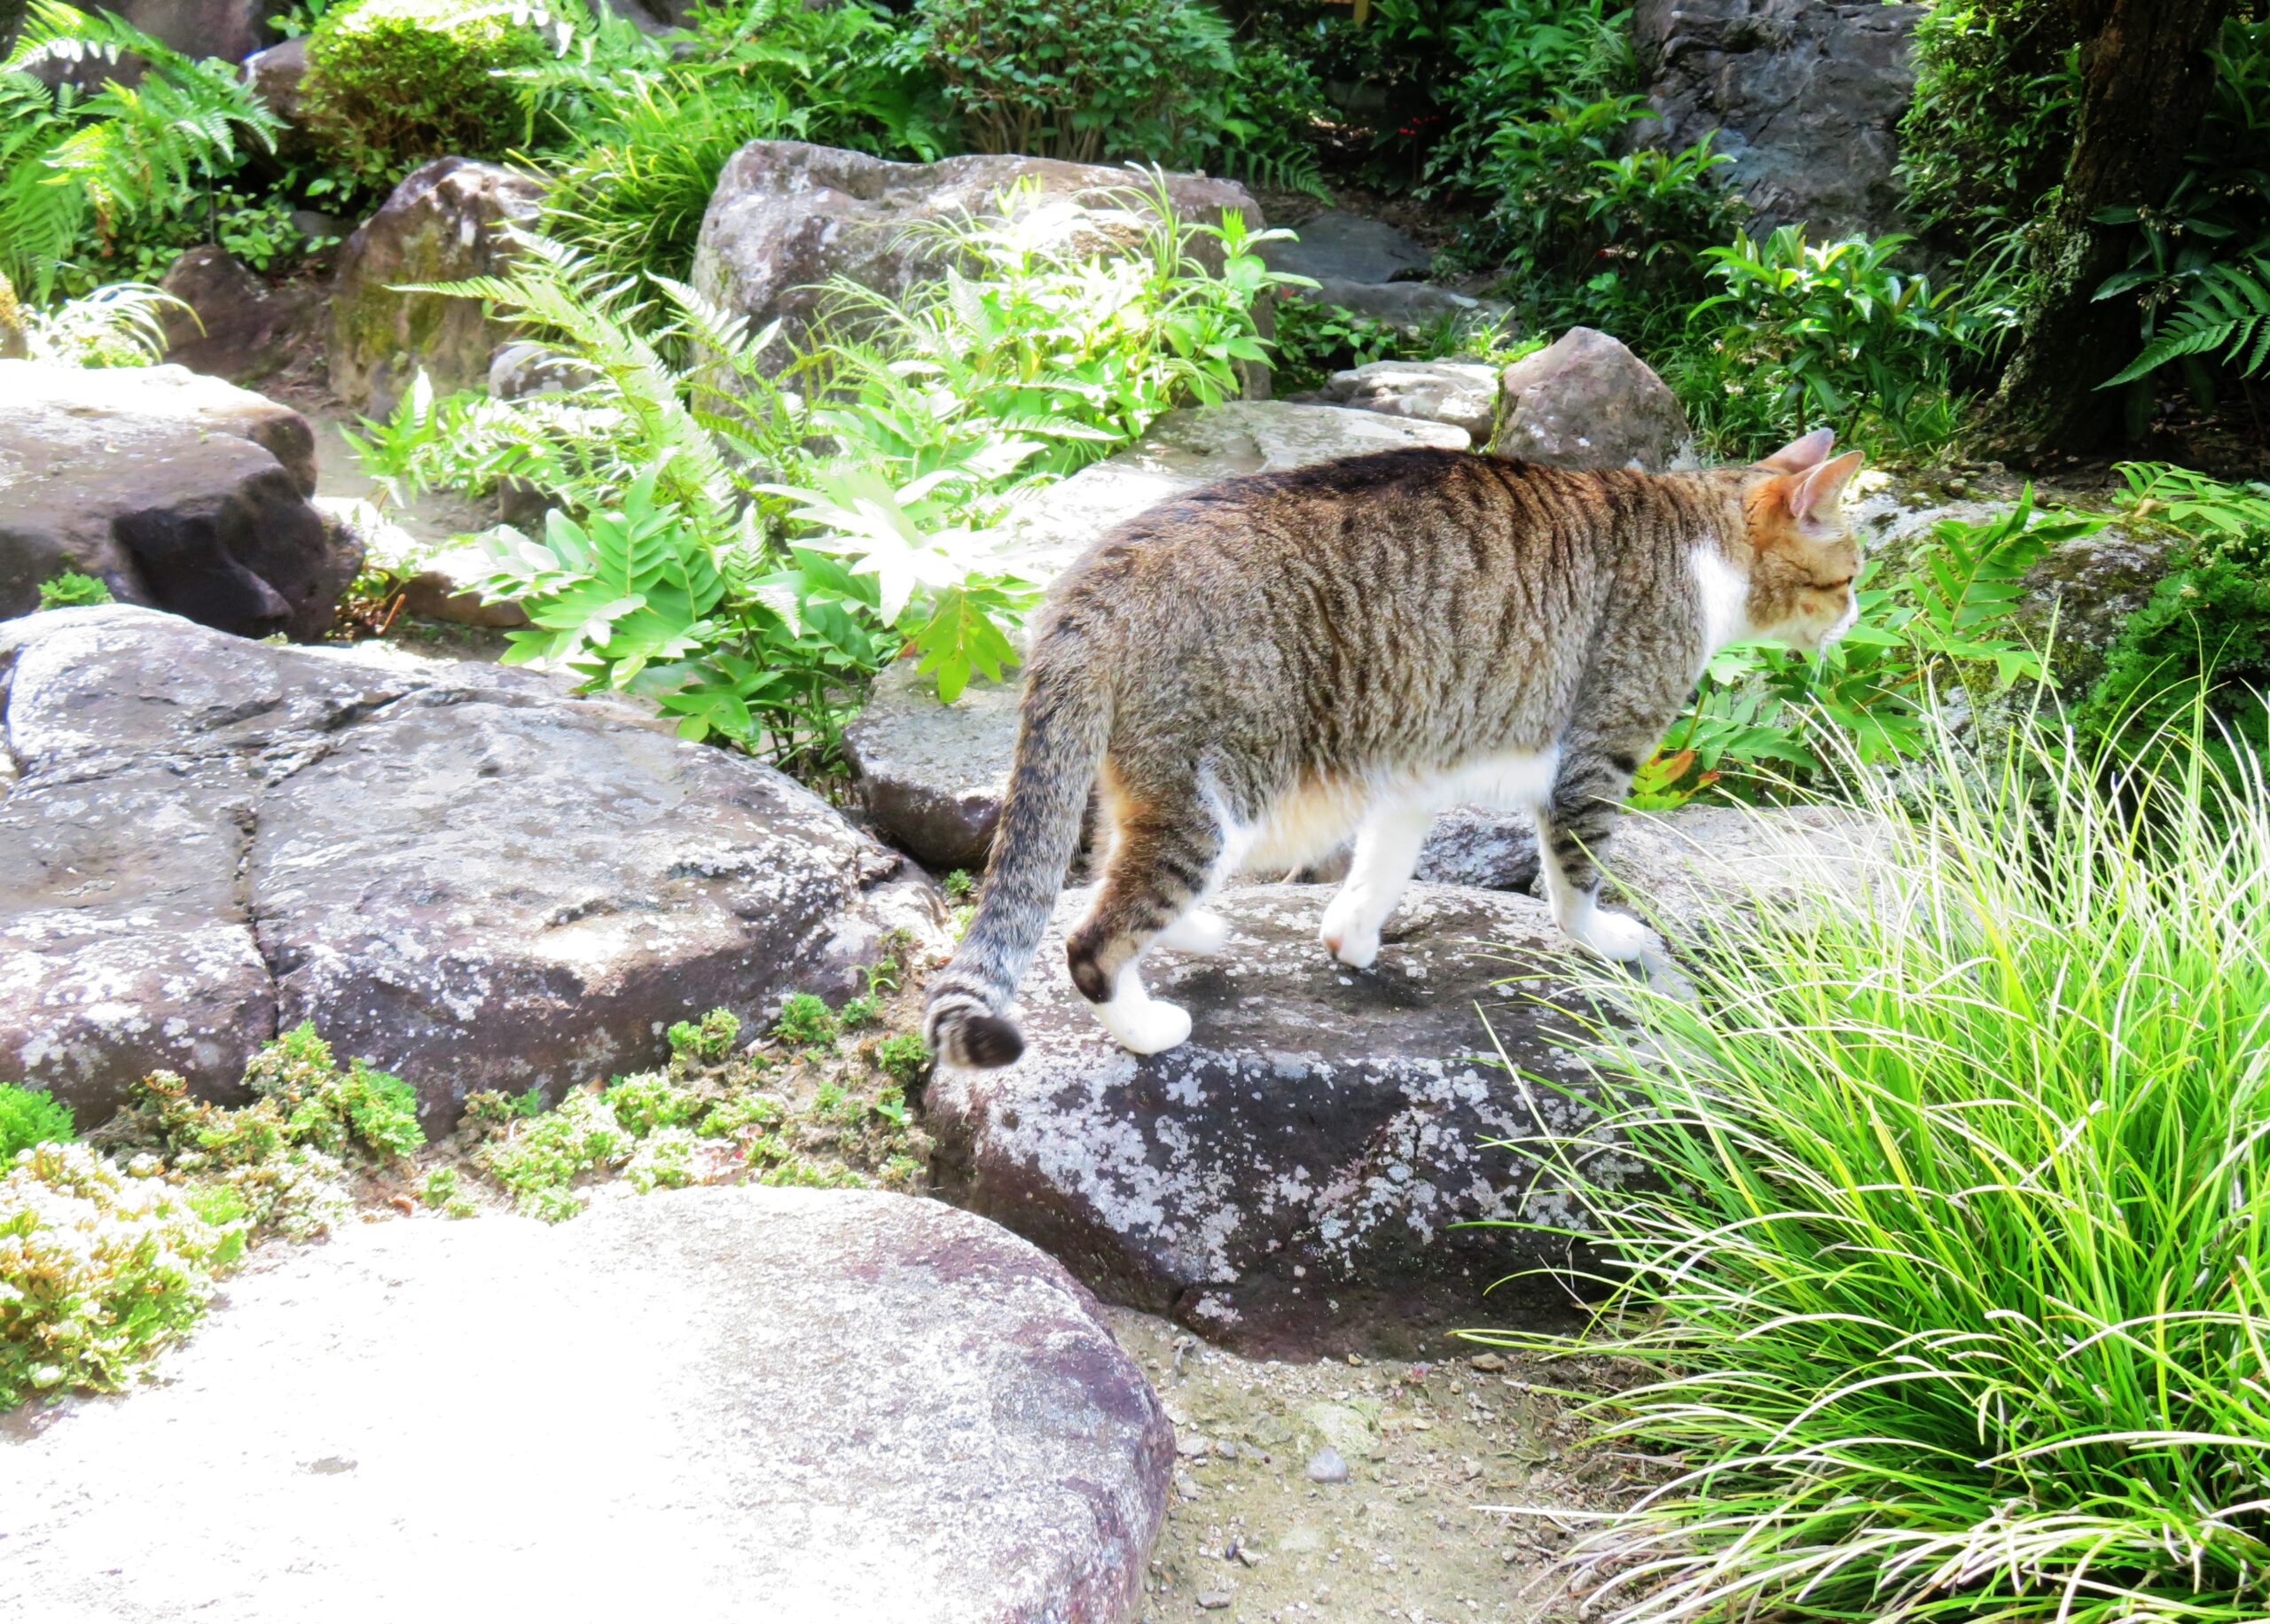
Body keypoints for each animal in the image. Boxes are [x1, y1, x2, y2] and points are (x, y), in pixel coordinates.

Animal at [921, 428, 1861, 1066]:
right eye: (1849, 576)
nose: (1855, 617)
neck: (1696, 542)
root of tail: (1093, 582)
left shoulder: (1415, 762)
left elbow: (1384, 864)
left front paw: (1352, 939)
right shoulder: (1597, 757)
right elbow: (1575, 879)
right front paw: (1605, 939)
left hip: (1160, 780)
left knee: (1103, 869)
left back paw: (1201, 932)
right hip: (1224, 793)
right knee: (1092, 937)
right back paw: (1150, 1029)